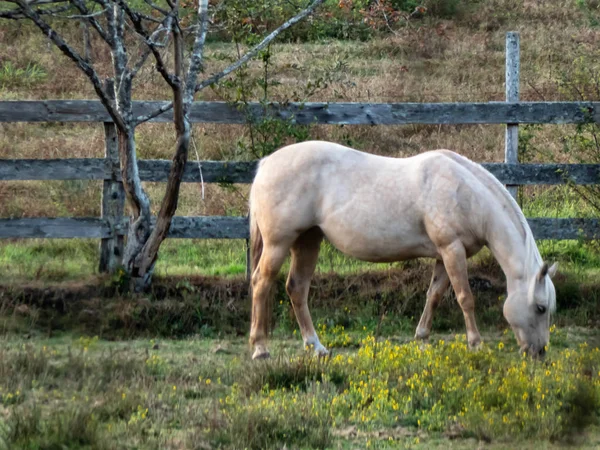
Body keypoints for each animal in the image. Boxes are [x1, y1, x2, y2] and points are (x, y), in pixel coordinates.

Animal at [248, 142, 556, 360]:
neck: (465, 194)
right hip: (278, 244)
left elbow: (434, 295)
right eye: (540, 308)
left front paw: (422, 337)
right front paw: (476, 344)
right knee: (261, 283)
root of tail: (265, 164)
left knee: (296, 289)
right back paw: (260, 348)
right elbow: (465, 298)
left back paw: (316, 346)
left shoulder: (444, 255)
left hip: (308, 241)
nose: (539, 353)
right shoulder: (452, 249)